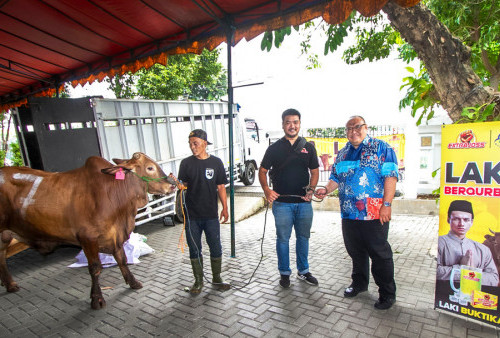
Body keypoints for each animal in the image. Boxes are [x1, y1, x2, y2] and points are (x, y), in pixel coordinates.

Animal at [0, 152, 176, 308]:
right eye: (150, 168)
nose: (172, 184)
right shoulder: (87, 238)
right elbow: (95, 268)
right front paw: (97, 299)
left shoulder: (114, 234)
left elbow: (122, 259)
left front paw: (133, 282)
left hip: (4, 236)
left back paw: (10, 284)